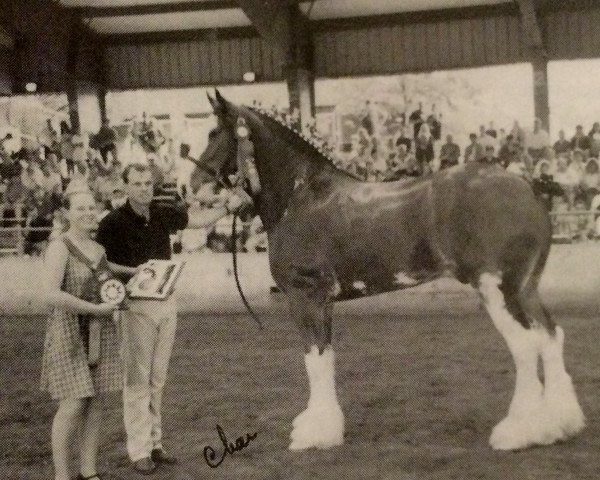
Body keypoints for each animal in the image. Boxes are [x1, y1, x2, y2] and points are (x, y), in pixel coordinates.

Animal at [195, 89, 584, 450]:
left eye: (215, 132)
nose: (194, 186)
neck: (301, 197)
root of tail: (527, 188)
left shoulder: (305, 296)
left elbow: (315, 359)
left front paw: (316, 434)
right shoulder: (323, 301)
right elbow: (326, 357)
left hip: (497, 290)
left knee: (526, 346)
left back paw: (518, 432)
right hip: (526, 289)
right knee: (551, 337)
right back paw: (560, 423)